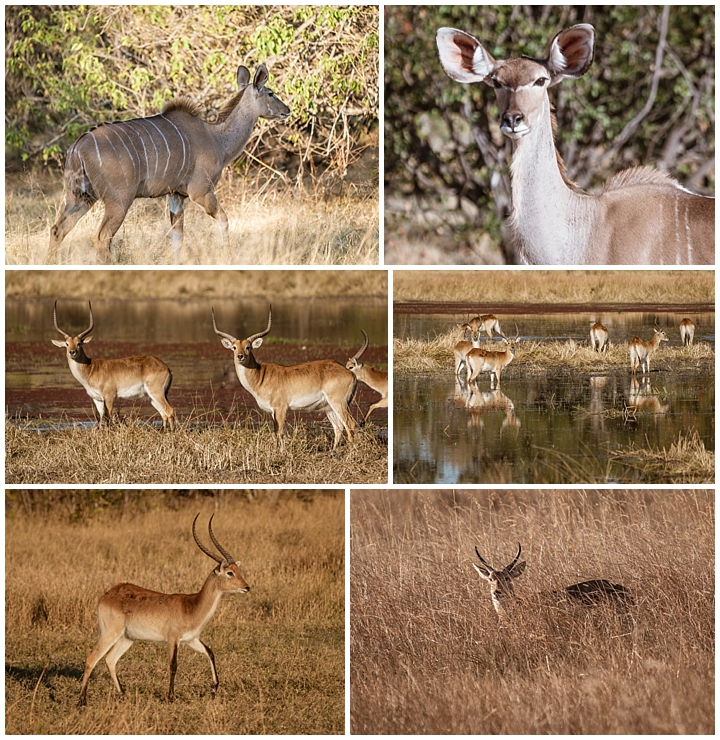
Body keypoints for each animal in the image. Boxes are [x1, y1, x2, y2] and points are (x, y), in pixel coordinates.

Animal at [47, 63, 290, 264]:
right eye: (270, 93)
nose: (287, 110)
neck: (216, 138)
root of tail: (78, 146)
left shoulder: (176, 195)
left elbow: (177, 236)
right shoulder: (200, 192)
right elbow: (224, 219)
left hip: (80, 197)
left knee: (58, 229)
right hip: (119, 200)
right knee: (101, 237)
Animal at [78, 512, 248, 708]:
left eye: (238, 569)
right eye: (230, 573)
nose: (247, 587)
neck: (191, 606)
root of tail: (107, 594)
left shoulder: (191, 639)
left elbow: (210, 653)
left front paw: (214, 689)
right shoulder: (172, 639)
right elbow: (173, 665)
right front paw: (170, 697)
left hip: (127, 638)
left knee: (110, 660)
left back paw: (123, 695)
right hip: (109, 634)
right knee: (91, 659)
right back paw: (82, 701)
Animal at [214, 304, 360, 448]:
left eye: (248, 347)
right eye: (234, 347)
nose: (240, 356)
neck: (260, 376)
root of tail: (350, 373)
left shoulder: (280, 408)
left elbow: (279, 433)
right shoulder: (273, 411)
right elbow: (277, 433)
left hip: (338, 403)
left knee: (350, 424)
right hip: (329, 407)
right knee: (339, 427)